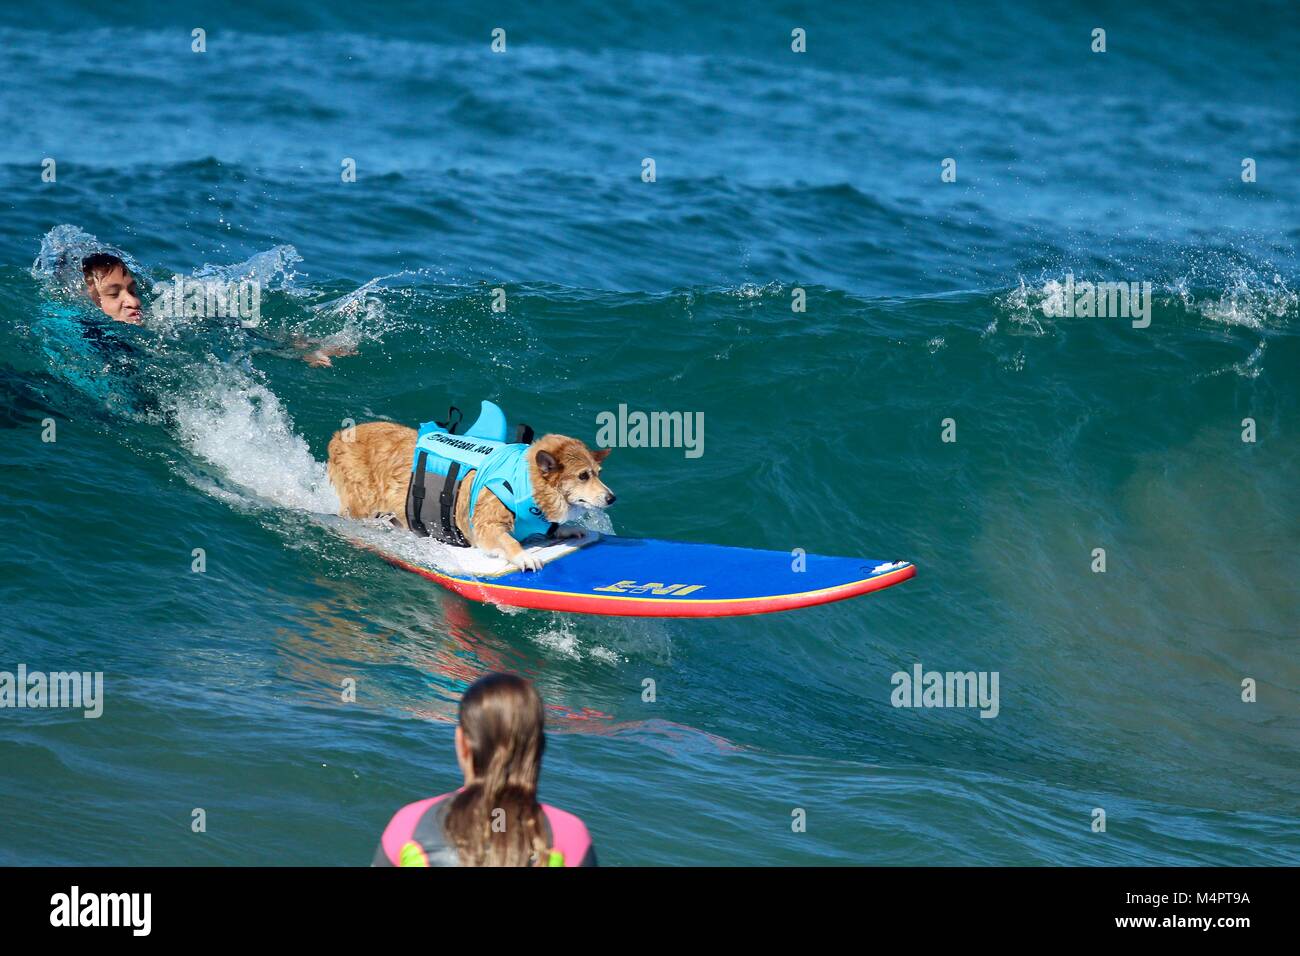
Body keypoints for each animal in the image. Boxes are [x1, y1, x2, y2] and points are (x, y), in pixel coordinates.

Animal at [322, 424, 611, 572]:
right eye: (583, 476)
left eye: (597, 473)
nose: (612, 498)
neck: (524, 480)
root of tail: (339, 436)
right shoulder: (487, 526)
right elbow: (508, 541)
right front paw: (523, 557)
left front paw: (568, 529)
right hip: (361, 506)